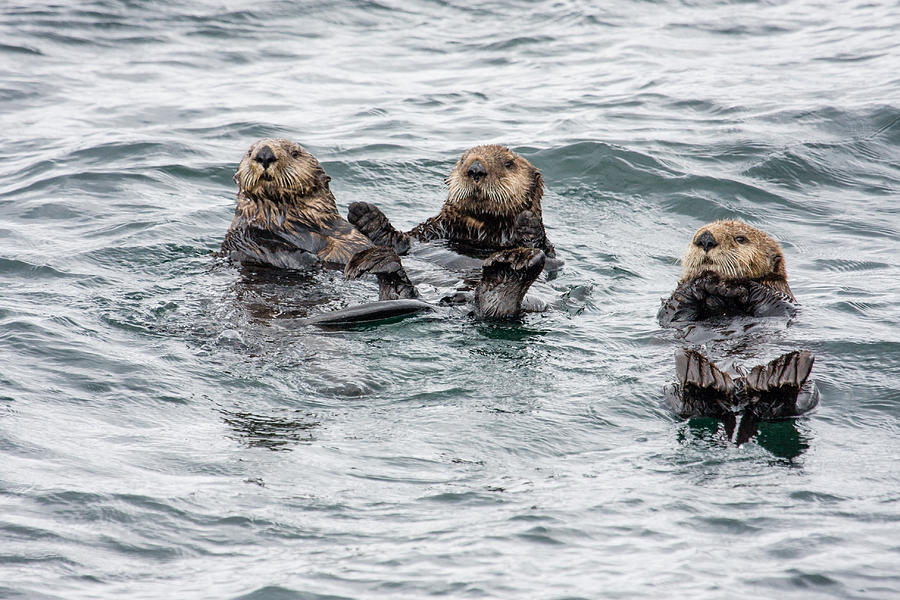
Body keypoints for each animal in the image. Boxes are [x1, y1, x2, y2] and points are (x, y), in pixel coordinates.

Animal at [346, 144, 557, 263]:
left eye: (509, 164)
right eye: (463, 160)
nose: (475, 169)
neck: (479, 231)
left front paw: (528, 225)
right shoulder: (430, 232)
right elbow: (399, 242)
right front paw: (368, 217)